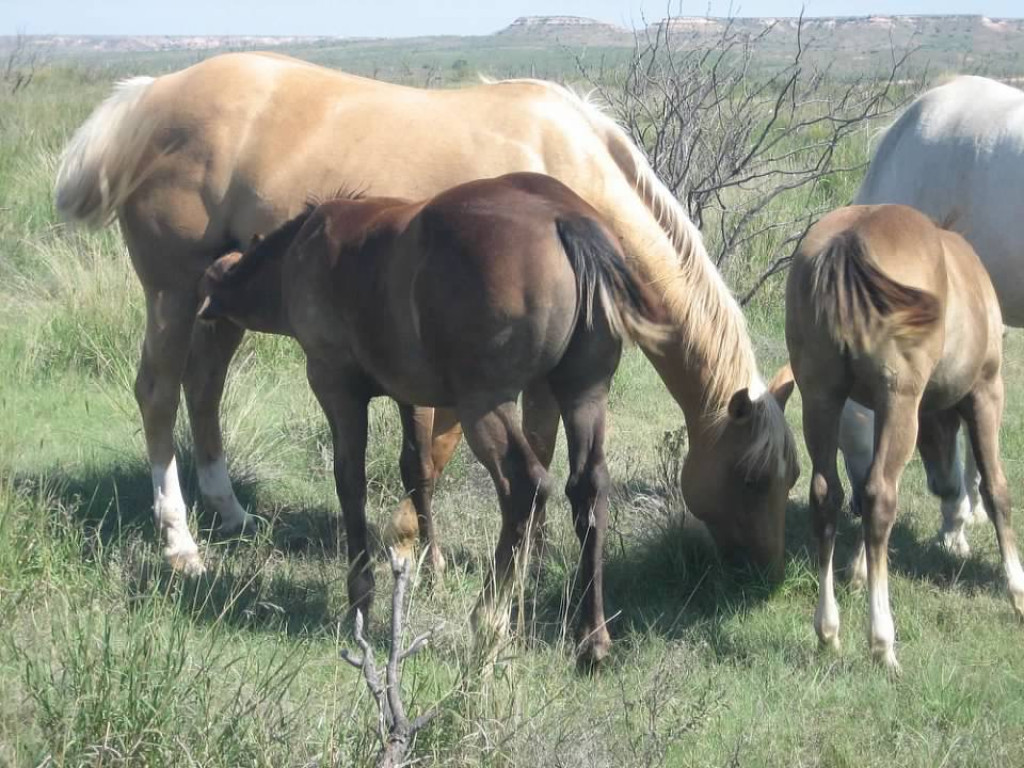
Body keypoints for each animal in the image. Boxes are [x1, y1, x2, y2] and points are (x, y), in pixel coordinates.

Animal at [54, 52, 798, 580]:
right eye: (753, 477)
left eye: (790, 477)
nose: (768, 573)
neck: (569, 170)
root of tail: (150, 97)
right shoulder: (465, 375)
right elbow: (438, 454)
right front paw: (414, 546)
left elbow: (536, 447)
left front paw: (526, 553)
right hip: (173, 293)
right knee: (158, 393)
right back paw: (180, 543)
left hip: (224, 300)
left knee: (203, 386)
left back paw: (230, 511)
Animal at [196, 172, 671, 666]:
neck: (301, 251)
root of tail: (565, 217)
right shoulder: (411, 397)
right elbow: (417, 472)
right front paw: (431, 568)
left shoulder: (335, 387)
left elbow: (350, 481)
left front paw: (360, 596)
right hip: (584, 395)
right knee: (588, 489)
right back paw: (591, 636)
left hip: (485, 403)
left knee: (525, 485)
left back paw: (489, 617)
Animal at [786, 204, 1024, 672]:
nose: (944, 485)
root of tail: (849, 241)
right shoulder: (986, 391)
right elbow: (997, 490)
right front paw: (1018, 592)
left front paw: (859, 571)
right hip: (900, 398)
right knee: (881, 495)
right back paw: (882, 643)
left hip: (820, 396)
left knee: (828, 494)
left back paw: (829, 631)